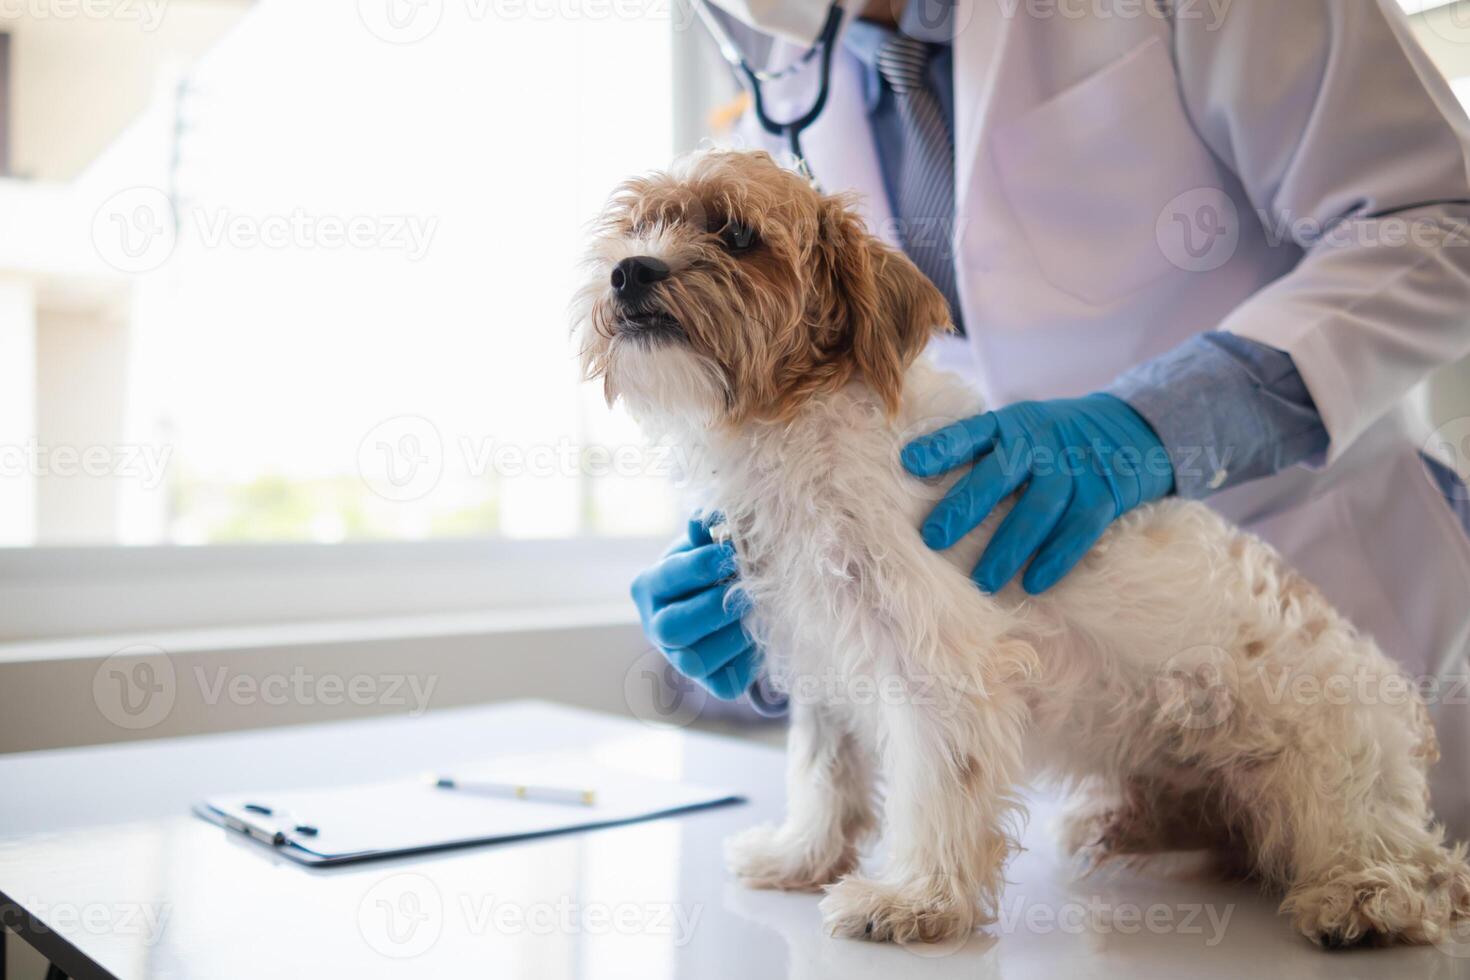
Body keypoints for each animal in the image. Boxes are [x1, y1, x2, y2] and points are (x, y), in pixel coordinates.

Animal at [570, 151, 1470, 952]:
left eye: (735, 232)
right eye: (638, 224)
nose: (629, 271)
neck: (795, 430)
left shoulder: (938, 667)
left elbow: (936, 787)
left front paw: (912, 899)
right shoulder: (822, 656)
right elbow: (822, 770)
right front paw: (801, 856)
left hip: (1329, 776)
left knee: (1419, 870)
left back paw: (1365, 899)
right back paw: (1123, 823)